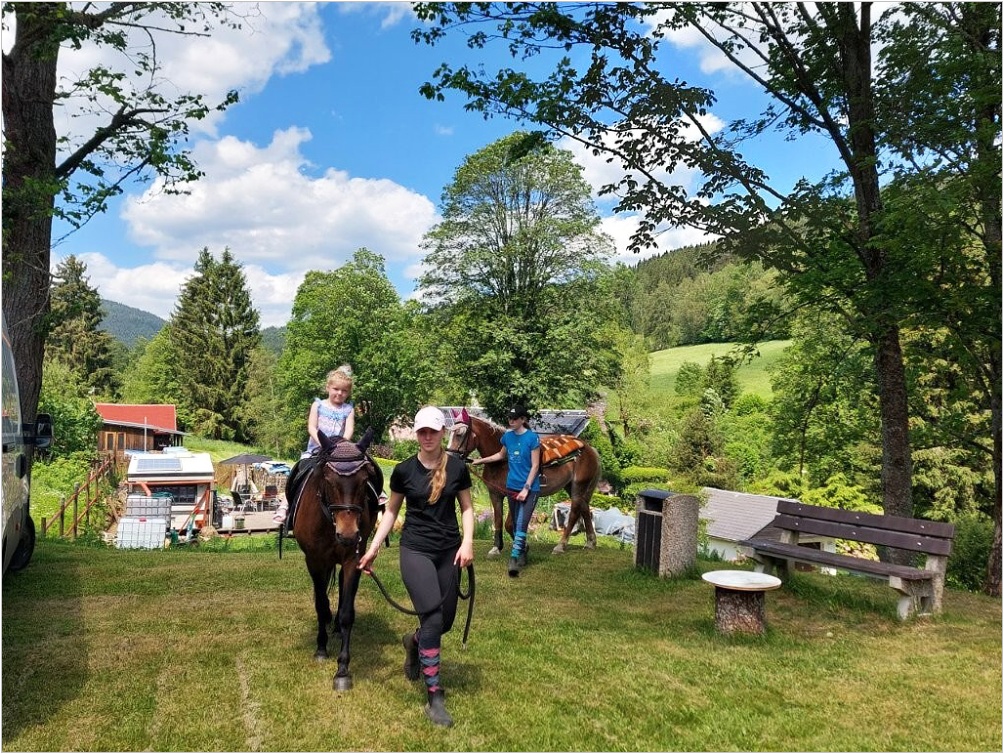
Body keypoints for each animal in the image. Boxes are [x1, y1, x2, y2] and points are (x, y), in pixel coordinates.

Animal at [288, 427, 384, 691]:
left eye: (364, 480)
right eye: (329, 480)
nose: (348, 534)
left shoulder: (353, 559)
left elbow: (347, 613)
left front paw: (342, 669)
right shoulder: (314, 561)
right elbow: (321, 604)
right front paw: (321, 649)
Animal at [446, 409, 601, 556]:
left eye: (459, 434)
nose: (449, 457)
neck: (502, 462)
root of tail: (588, 448)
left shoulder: (513, 495)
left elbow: (509, 524)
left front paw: (523, 546)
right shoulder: (495, 495)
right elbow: (498, 521)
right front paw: (496, 548)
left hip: (578, 486)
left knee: (575, 511)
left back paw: (560, 546)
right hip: (573, 487)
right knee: (584, 508)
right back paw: (590, 542)